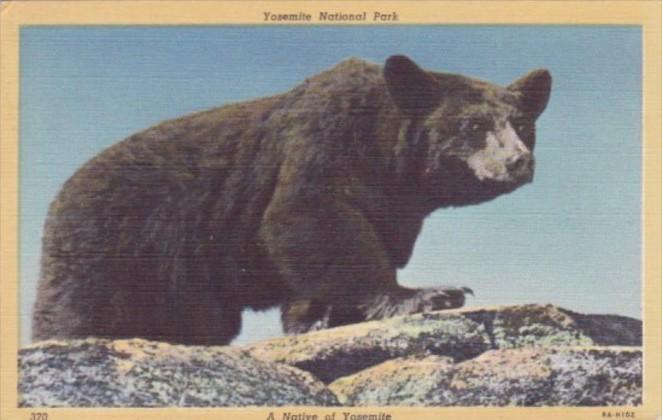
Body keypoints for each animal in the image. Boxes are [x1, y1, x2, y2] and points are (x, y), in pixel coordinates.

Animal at [32, 55, 548, 344]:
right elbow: (306, 219)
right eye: (474, 126)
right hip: (113, 245)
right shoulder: (322, 144)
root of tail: (60, 194)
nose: (519, 161)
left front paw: (316, 317)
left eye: (523, 125)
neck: (385, 152)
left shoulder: (393, 204)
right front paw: (429, 294)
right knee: (79, 309)